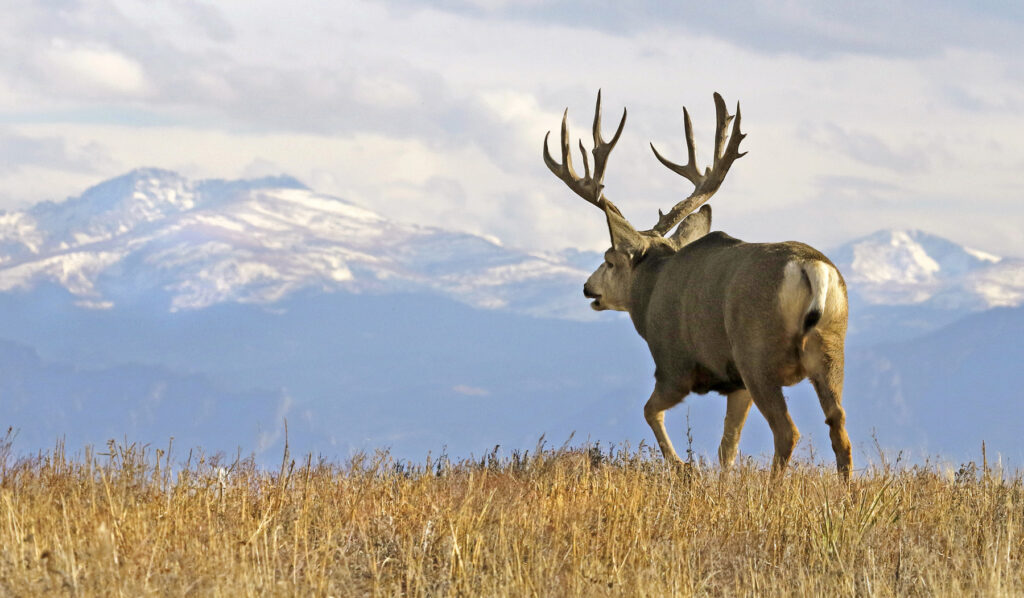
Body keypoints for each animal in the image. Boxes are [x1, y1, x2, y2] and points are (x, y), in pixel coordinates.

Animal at [543, 91, 852, 479]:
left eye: (609, 259)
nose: (588, 287)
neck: (651, 289)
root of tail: (810, 267)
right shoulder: (735, 383)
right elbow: (727, 447)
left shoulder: (674, 365)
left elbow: (650, 411)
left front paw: (683, 468)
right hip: (829, 348)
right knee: (839, 426)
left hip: (757, 353)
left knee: (788, 431)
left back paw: (772, 487)